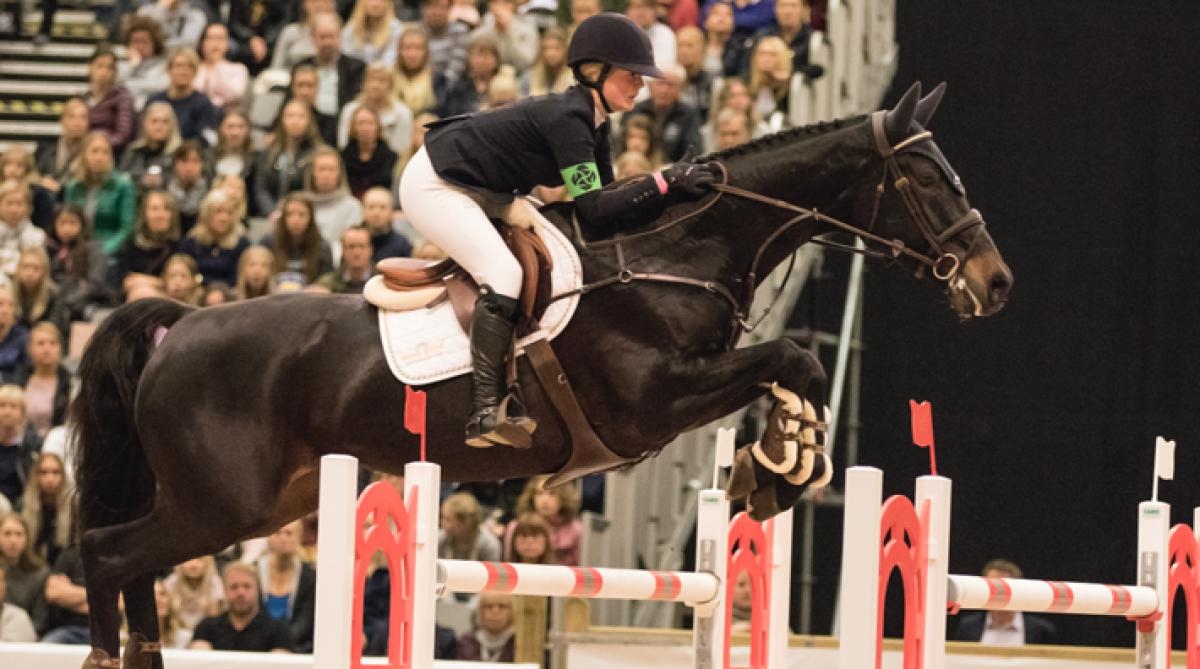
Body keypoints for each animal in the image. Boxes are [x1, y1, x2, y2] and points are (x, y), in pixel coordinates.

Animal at [70, 81, 1012, 666]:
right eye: (928, 178)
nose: (995, 281)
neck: (680, 250)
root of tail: (179, 325)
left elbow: (789, 369)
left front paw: (779, 462)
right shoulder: (649, 404)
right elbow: (794, 356)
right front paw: (783, 461)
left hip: (272, 500)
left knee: (131, 563)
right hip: (223, 502)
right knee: (109, 554)